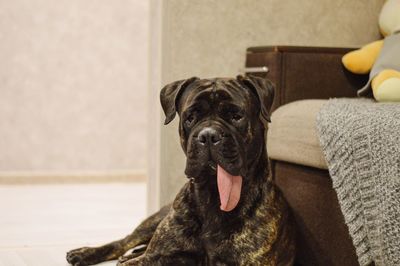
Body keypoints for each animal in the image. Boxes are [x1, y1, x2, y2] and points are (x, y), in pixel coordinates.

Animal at [65, 75, 296, 266]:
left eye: (236, 116)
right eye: (190, 116)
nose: (208, 135)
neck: (212, 196)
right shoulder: (156, 256)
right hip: (153, 221)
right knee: (123, 242)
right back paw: (85, 253)